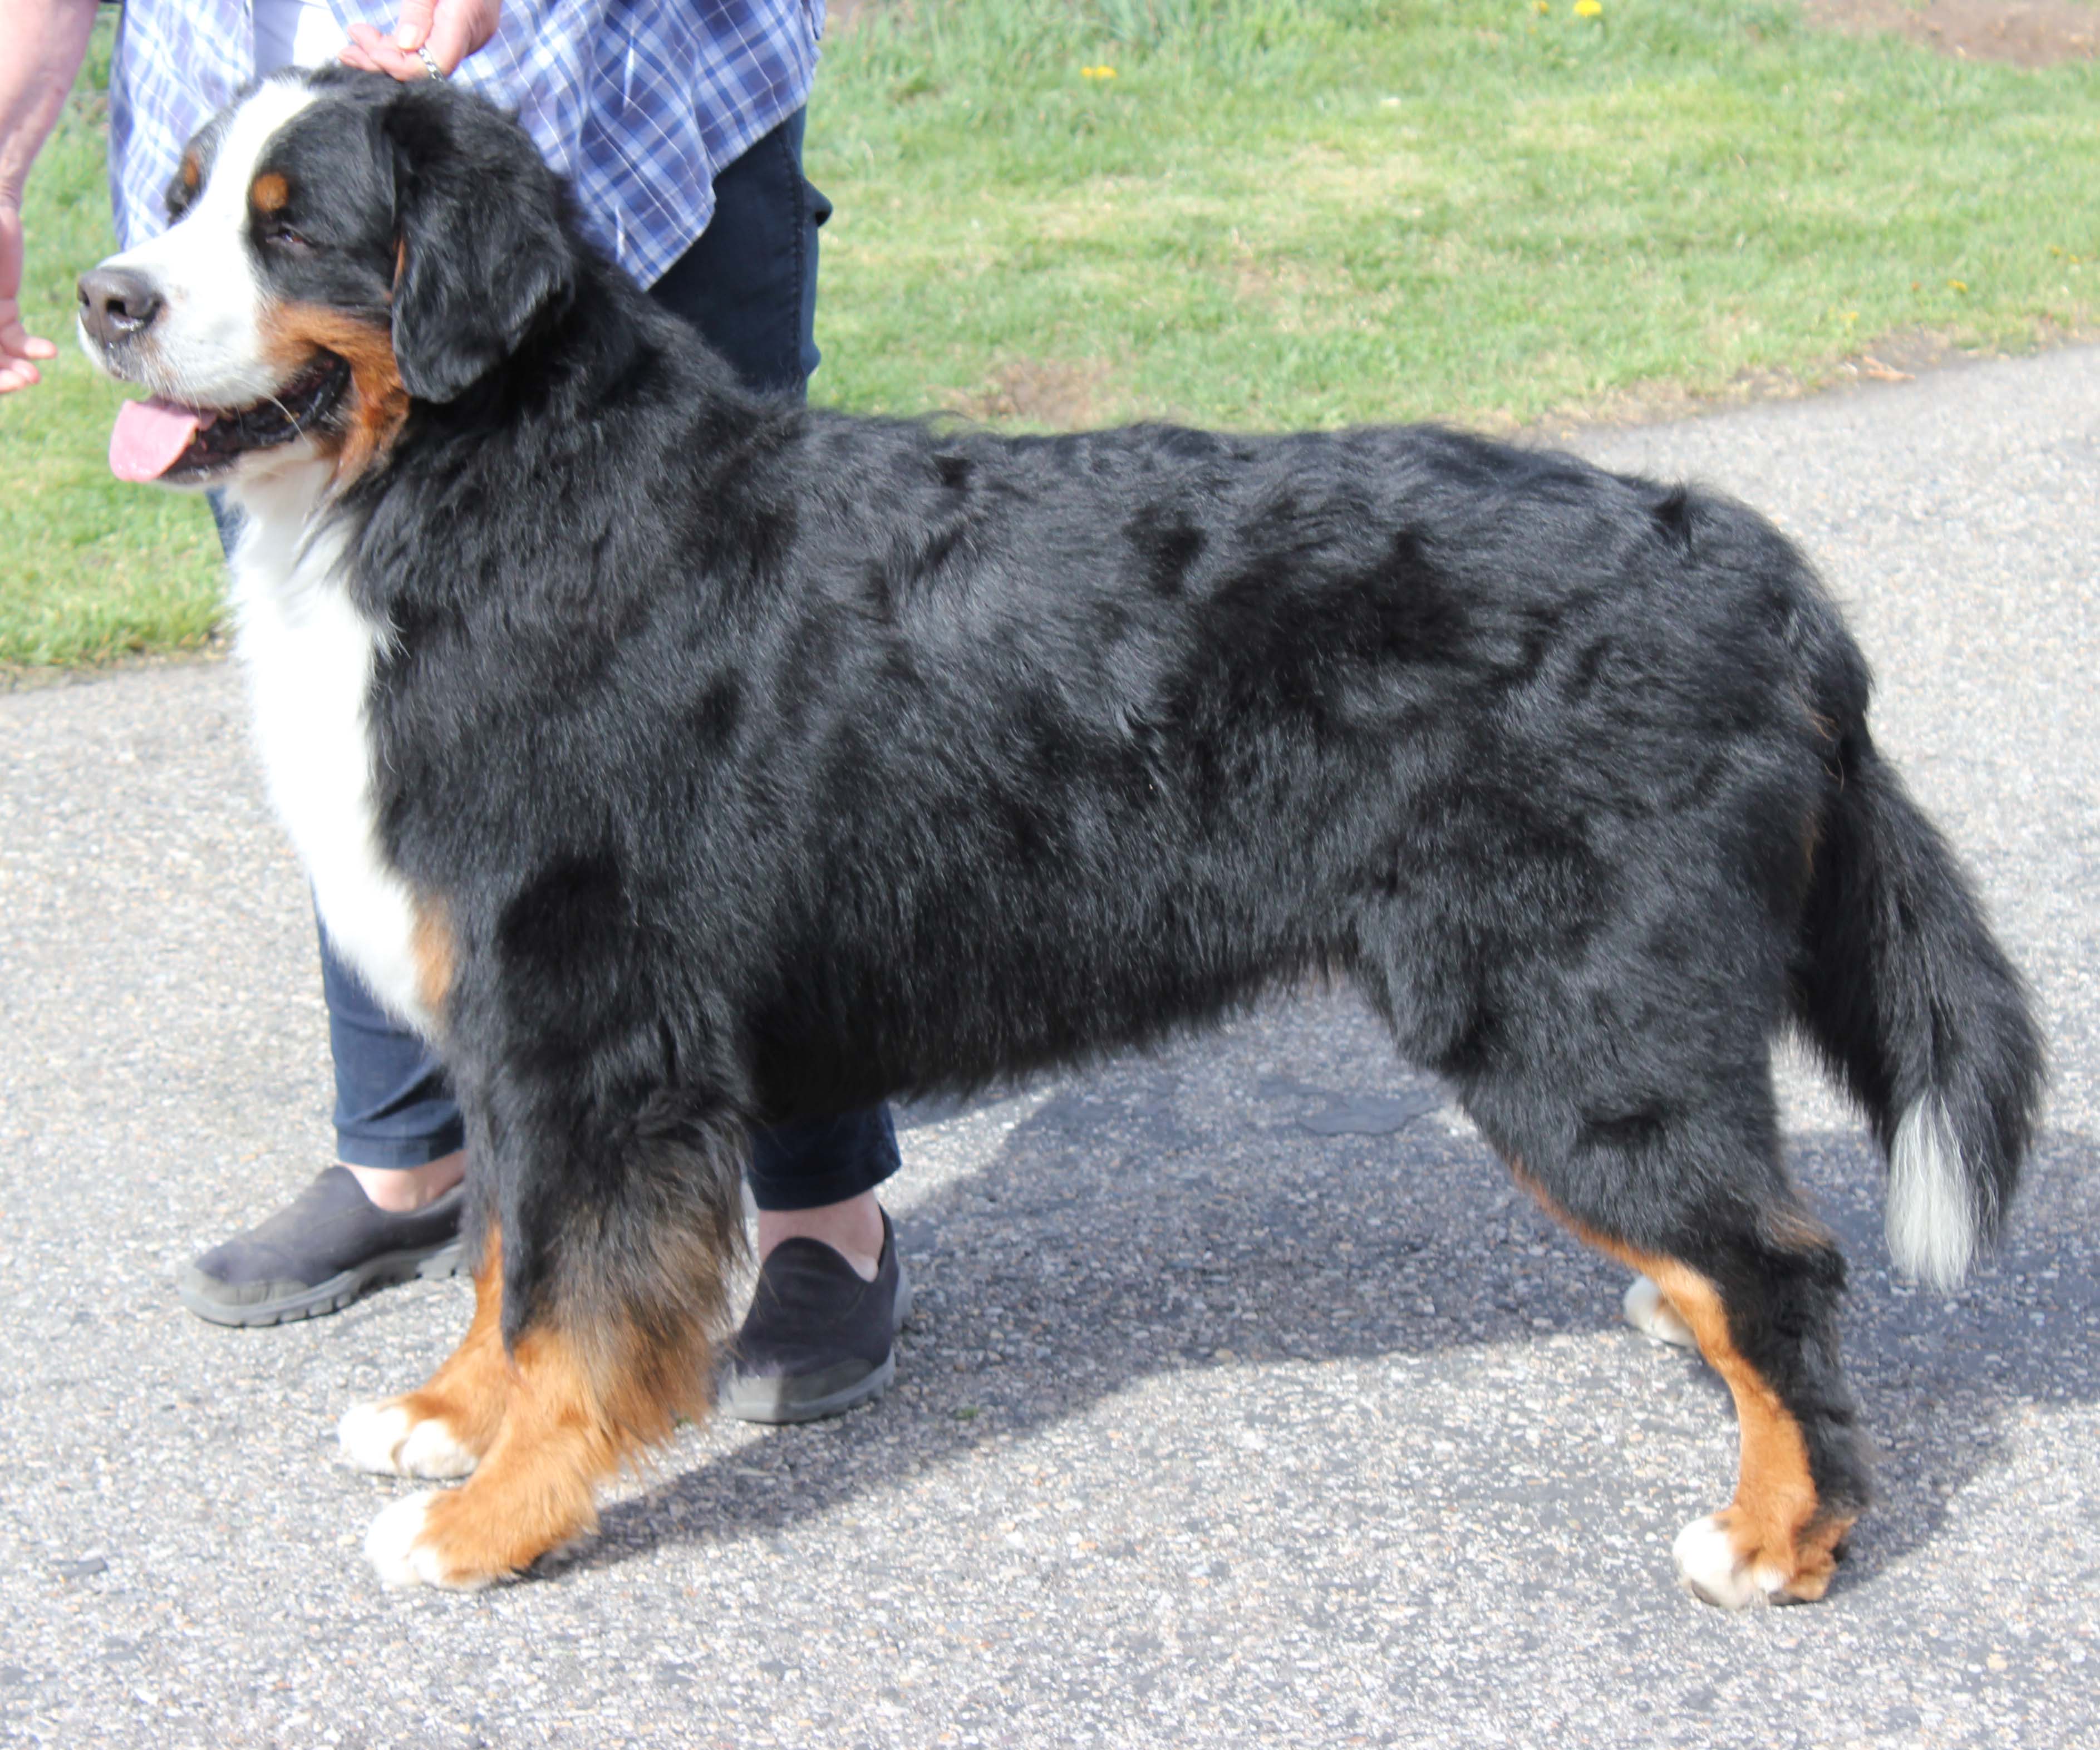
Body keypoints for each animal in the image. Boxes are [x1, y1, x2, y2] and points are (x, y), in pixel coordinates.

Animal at [77, 71, 2033, 1596]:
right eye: (178, 199)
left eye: (290, 231)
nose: (102, 300)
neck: (467, 494)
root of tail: (1757, 576)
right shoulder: (510, 1017)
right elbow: (509, 1253)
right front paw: (445, 1416)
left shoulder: (590, 1021)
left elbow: (580, 1302)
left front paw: (494, 1518)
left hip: (1575, 1014)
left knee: (1778, 1261)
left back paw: (1775, 1531)